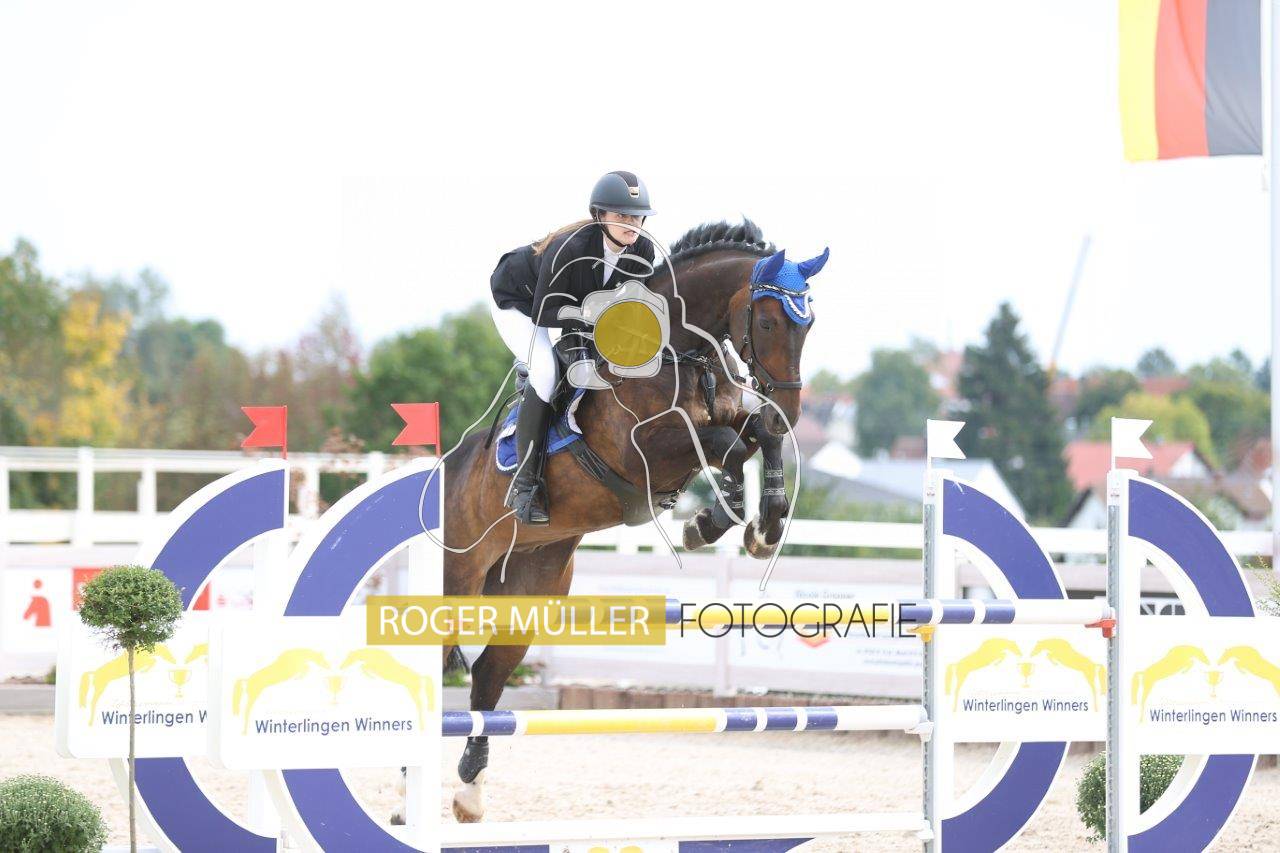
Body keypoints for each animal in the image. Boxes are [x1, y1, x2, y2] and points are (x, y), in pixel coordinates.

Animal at [439, 220, 825, 823]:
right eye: (766, 321)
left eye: (807, 323)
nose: (794, 410)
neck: (678, 354)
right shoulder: (646, 451)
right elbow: (728, 441)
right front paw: (717, 520)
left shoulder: (726, 417)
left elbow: (755, 436)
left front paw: (752, 526)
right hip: (458, 577)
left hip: (529, 585)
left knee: (487, 678)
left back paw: (469, 793)